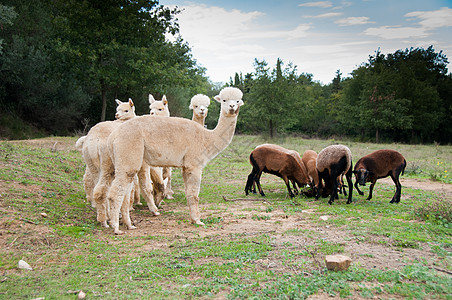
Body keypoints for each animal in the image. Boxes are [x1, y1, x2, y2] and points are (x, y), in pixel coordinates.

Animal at [94, 86, 244, 234]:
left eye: (237, 101)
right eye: (224, 100)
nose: (232, 107)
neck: (207, 138)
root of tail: (113, 135)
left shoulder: (185, 167)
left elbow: (189, 194)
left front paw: (193, 219)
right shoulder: (194, 165)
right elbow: (194, 195)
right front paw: (198, 221)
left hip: (113, 161)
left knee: (114, 191)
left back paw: (125, 224)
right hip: (128, 155)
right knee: (115, 193)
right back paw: (116, 227)